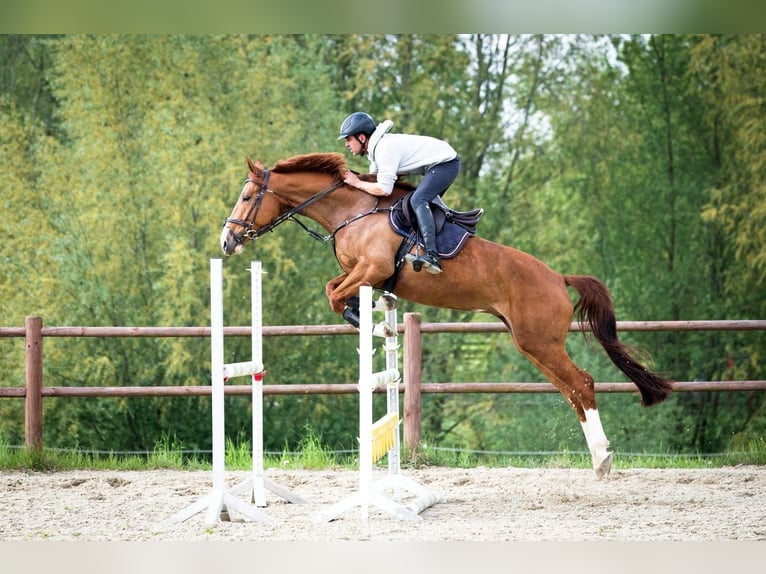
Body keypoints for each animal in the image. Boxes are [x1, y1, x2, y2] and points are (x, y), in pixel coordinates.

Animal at [219, 152, 676, 476]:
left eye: (247, 197)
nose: (227, 241)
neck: (352, 211)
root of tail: (558, 276)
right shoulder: (358, 271)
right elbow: (334, 288)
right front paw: (369, 313)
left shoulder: (372, 269)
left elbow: (334, 294)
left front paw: (364, 318)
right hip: (532, 345)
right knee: (571, 390)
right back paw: (597, 456)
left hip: (539, 342)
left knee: (582, 384)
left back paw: (602, 460)